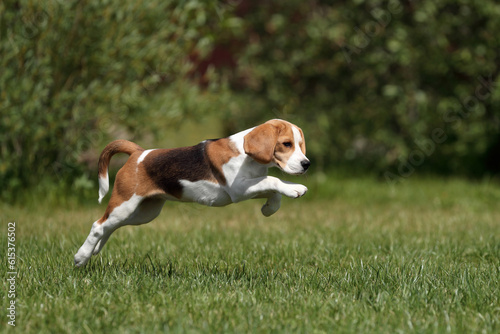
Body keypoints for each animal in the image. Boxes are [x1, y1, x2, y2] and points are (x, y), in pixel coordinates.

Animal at [73, 118, 308, 268]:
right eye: (286, 144)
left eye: (300, 145)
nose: (306, 164)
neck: (245, 154)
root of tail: (138, 153)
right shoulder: (239, 189)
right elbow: (273, 180)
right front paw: (295, 188)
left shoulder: (249, 187)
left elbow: (273, 189)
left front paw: (270, 208)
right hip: (126, 204)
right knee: (98, 225)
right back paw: (81, 257)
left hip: (144, 213)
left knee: (108, 226)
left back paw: (94, 250)